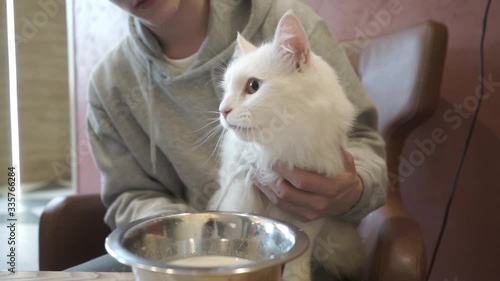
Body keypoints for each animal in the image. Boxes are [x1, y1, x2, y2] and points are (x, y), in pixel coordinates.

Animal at [209, 10, 366, 280]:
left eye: (253, 86)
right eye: (226, 90)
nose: (223, 110)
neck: (278, 150)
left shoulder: (308, 216)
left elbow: (298, 258)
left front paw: (294, 277)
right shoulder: (240, 194)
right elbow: (241, 241)